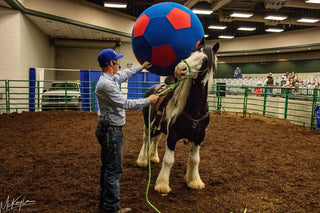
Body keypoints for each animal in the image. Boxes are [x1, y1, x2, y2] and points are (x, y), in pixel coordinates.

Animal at [135, 42, 220, 194]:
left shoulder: (199, 137)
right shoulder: (173, 136)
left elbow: (195, 159)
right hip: (147, 124)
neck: (194, 109)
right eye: (191, 53)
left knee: (156, 139)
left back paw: (153, 156)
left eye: (205, 60)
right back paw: (143, 160)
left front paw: (194, 181)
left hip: (159, 127)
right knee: (146, 139)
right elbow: (169, 160)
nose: (180, 68)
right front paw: (162, 185)